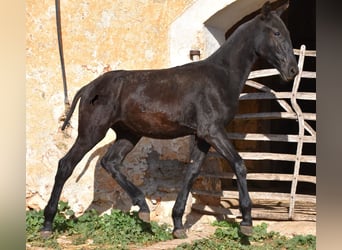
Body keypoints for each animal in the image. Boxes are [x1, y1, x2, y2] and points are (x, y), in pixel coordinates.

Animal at [41, 1, 298, 238]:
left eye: (286, 32)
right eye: (276, 33)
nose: (293, 70)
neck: (220, 77)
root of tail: (88, 88)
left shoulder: (203, 136)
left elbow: (192, 173)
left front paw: (178, 225)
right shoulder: (212, 131)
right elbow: (239, 164)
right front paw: (246, 222)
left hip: (128, 134)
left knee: (110, 162)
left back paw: (143, 209)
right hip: (92, 132)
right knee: (66, 165)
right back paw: (47, 224)